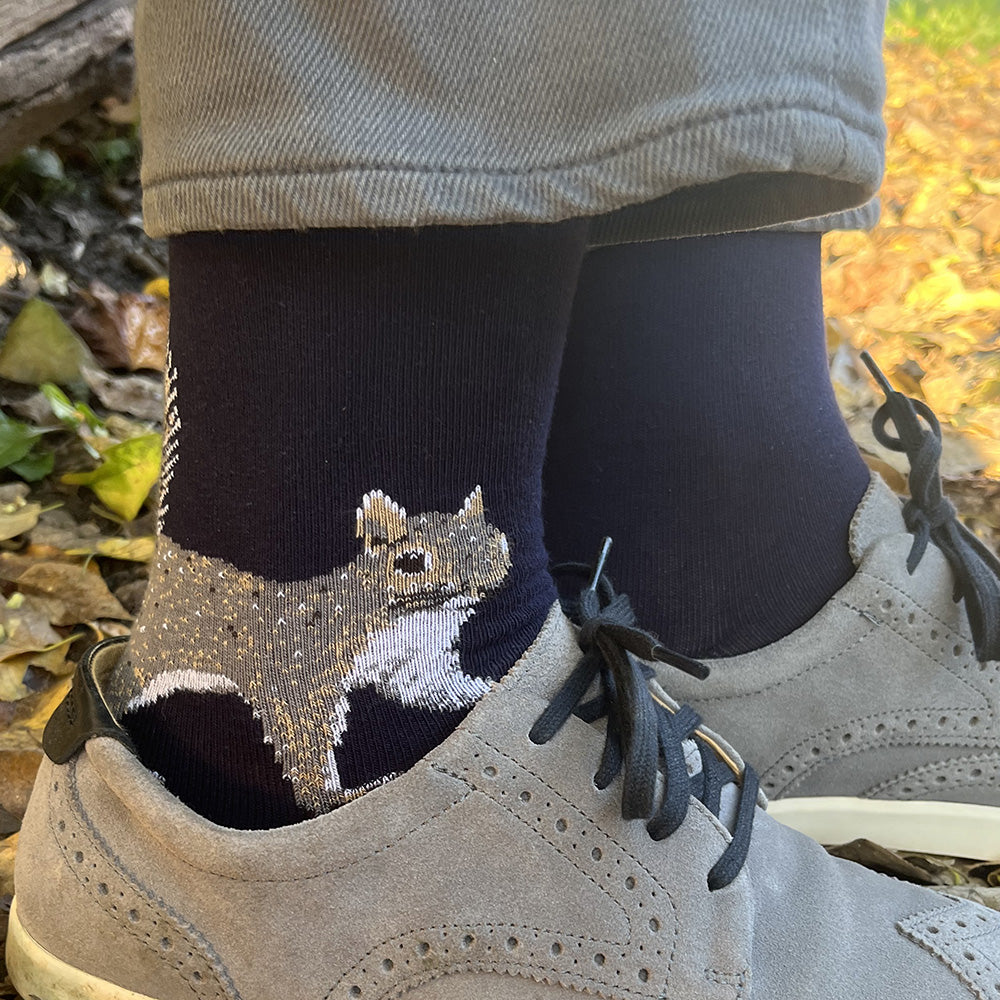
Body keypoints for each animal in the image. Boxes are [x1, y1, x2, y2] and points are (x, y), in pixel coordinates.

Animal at [117, 486, 511, 812]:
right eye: (411, 561)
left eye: (496, 542)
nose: (473, 583)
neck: (415, 622)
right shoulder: (301, 672)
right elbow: (308, 742)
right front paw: (331, 796)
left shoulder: (416, 667)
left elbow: (439, 689)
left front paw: (486, 687)